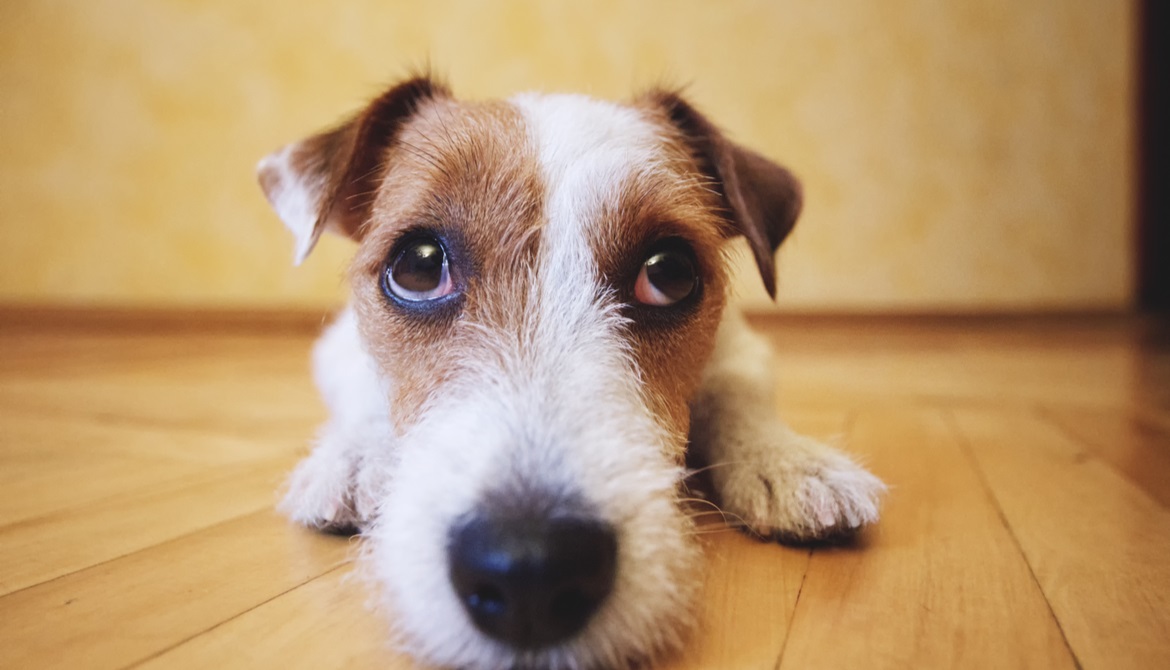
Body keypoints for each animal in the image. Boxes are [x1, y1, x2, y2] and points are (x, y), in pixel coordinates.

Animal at [253, 76, 879, 668]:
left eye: (669, 272)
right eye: (419, 267)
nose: (530, 570)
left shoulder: (740, 345)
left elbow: (736, 388)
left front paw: (787, 460)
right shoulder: (337, 345)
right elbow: (364, 385)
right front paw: (356, 456)